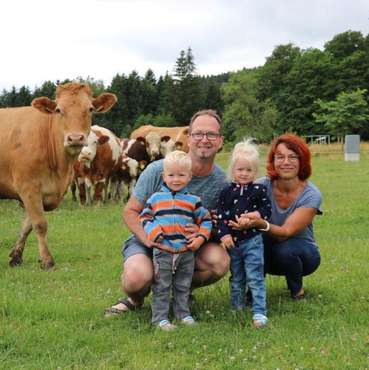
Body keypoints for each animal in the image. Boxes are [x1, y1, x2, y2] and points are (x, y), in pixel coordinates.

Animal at [0, 83, 116, 268]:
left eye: (90, 109)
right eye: (59, 110)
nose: (75, 138)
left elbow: (27, 226)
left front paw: (16, 257)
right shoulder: (28, 187)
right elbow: (39, 224)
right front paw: (47, 261)